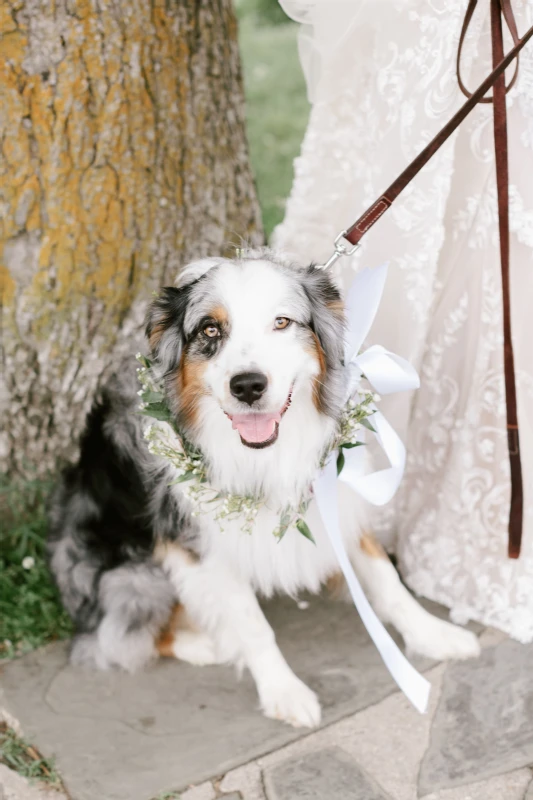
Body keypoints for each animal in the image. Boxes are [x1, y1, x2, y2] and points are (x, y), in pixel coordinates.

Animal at [50, 252, 480, 732]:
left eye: (281, 322)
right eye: (210, 330)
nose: (248, 385)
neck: (265, 452)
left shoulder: (335, 490)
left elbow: (385, 576)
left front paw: (435, 634)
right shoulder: (202, 547)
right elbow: (252, 624)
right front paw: (284, 691)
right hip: (136, 575)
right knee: (117, 640)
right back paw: (206, 644)